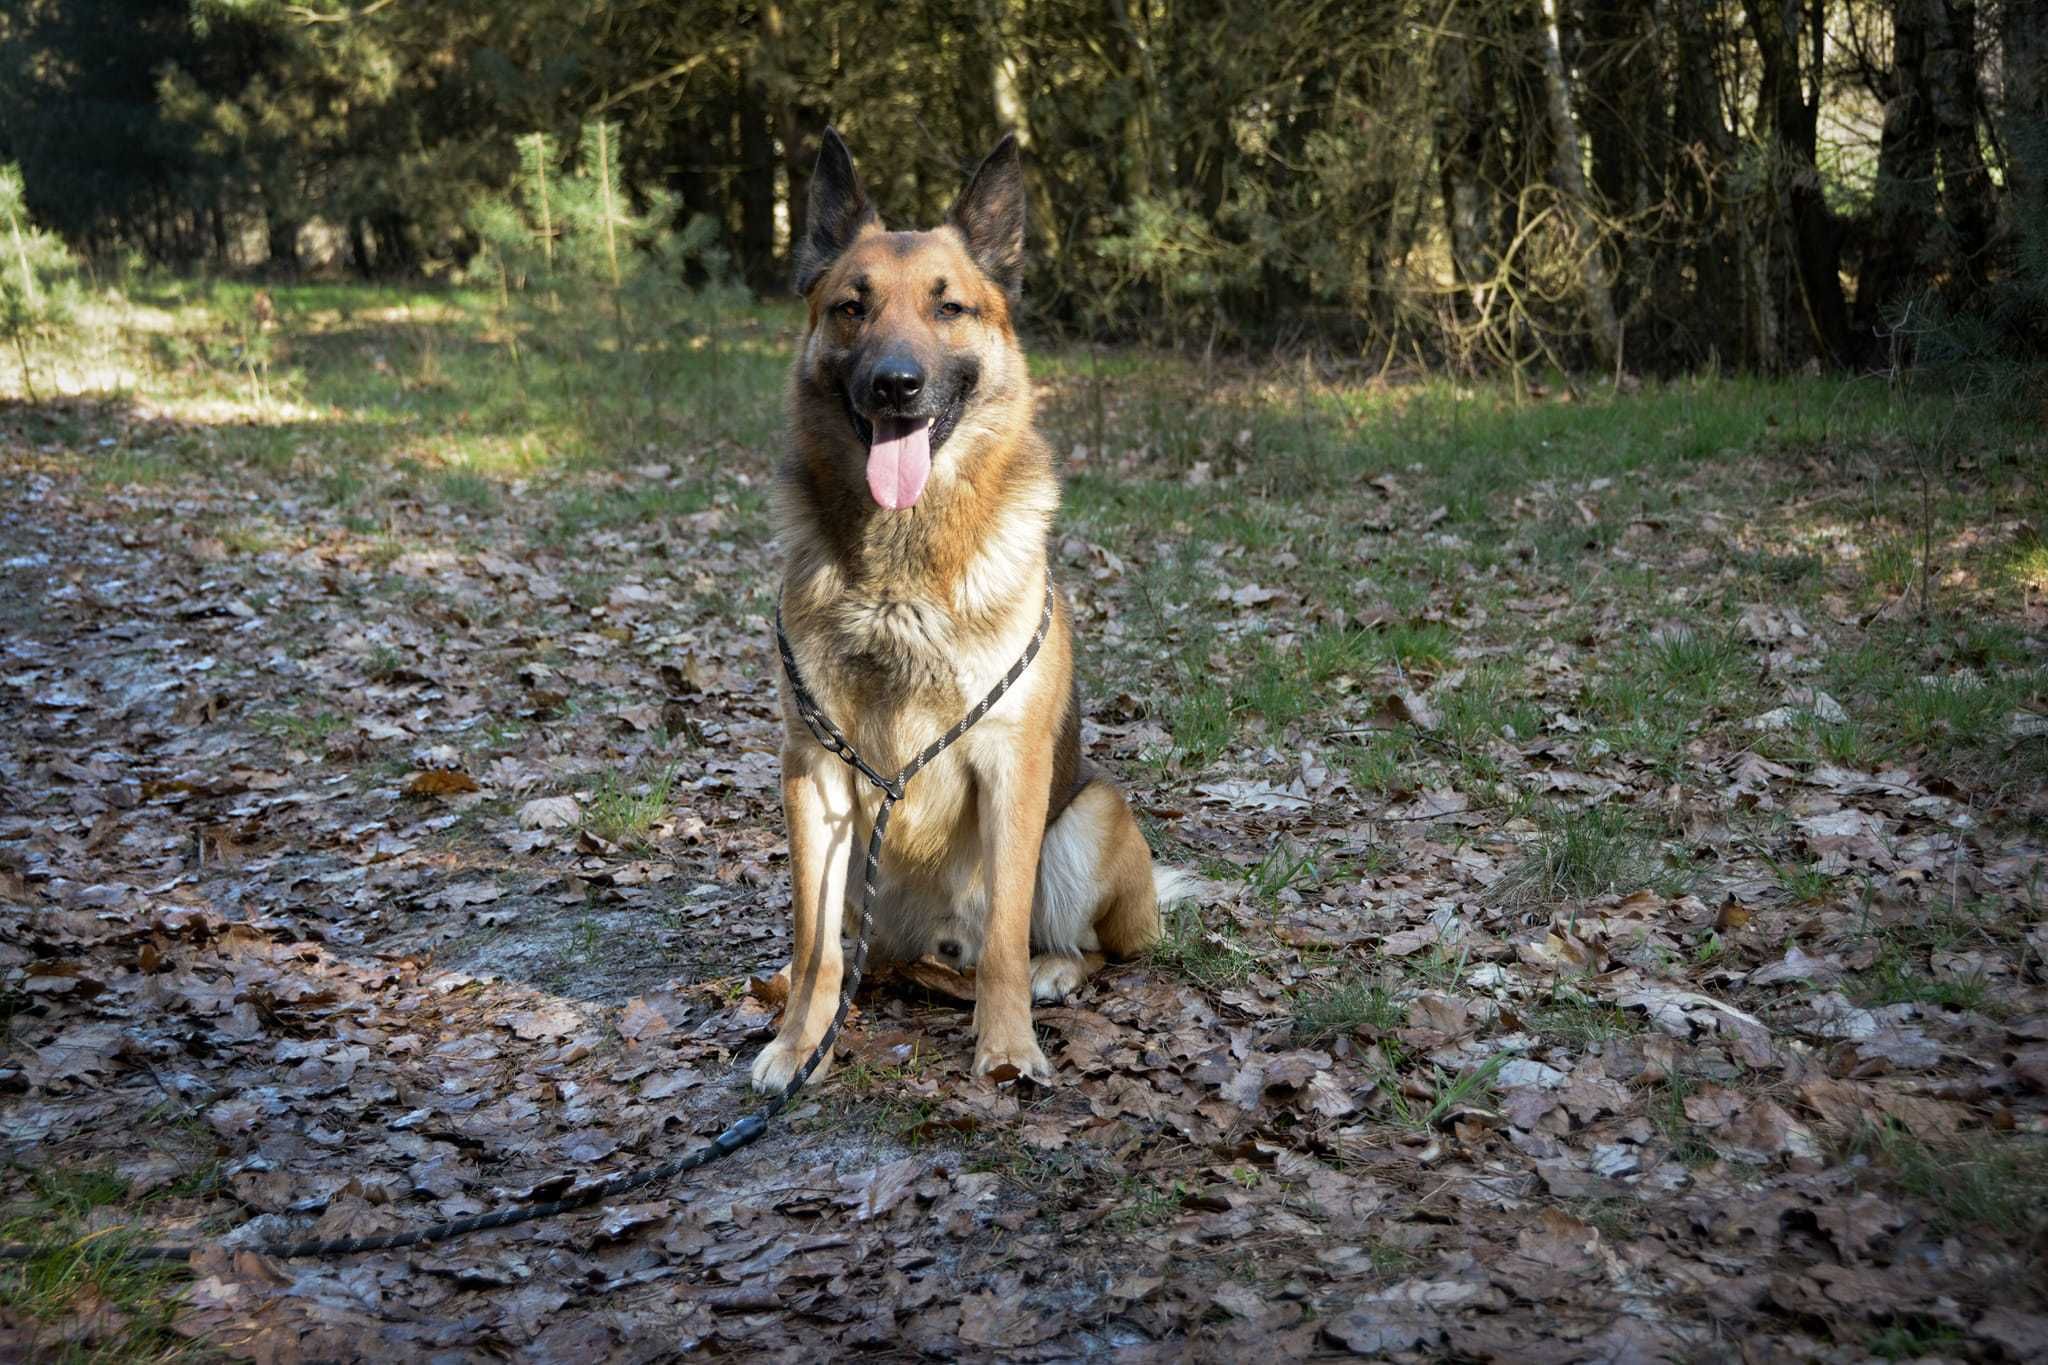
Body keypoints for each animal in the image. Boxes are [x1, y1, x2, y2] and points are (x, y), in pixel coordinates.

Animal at [749, 127, 1187, 1088]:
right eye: (852, 307)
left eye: (948, 307)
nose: (895, 385)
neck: (900, 573)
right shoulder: (815, 774)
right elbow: (812, 945)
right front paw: (800, 1044)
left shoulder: (1009, 765)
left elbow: (1005, 944)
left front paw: (1008, 1045)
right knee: (853, 951)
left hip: (1086, 818)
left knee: (1077, 946)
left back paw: (1054, 971)